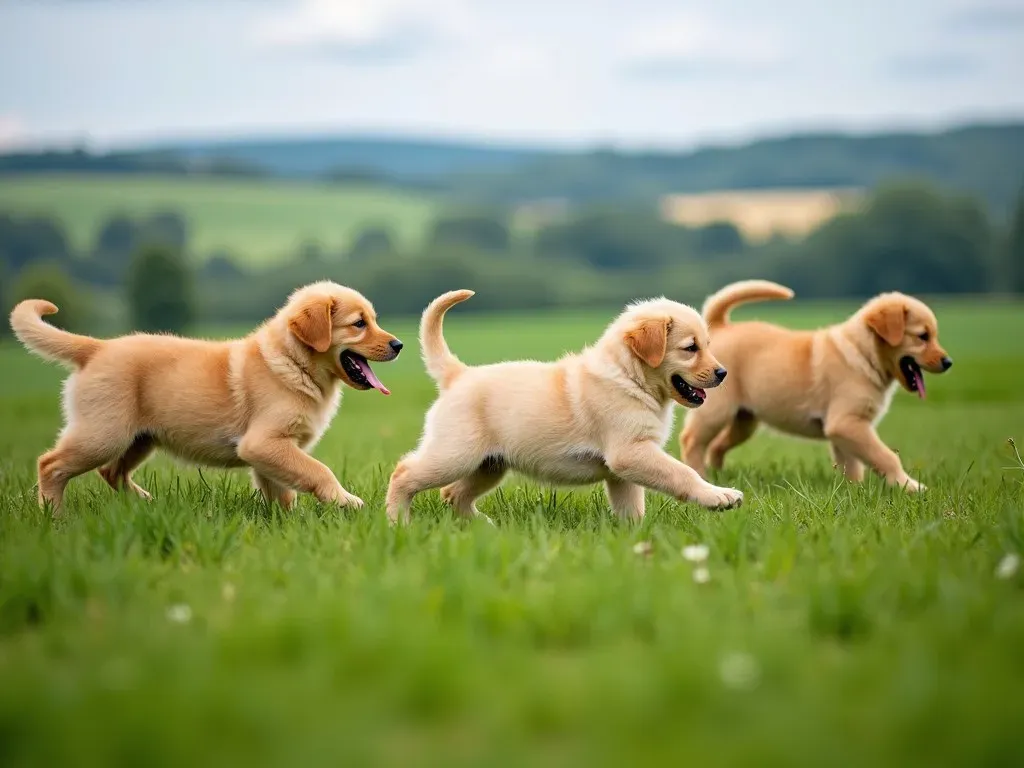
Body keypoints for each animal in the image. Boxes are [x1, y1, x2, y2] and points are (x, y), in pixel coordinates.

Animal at [12, 280, 403, 512]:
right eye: (359, 324)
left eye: (372, 319)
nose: (399, 344)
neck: (294, 363)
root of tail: (97, 347)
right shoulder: (264, 442)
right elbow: (317, 470)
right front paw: (346, 501)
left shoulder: (271, 451)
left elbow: (282, 490)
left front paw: (287, 524)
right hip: (104, 433)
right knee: (51, 464)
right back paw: (54, 516)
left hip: (139, 438)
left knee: (111, 472)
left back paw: (144, 504)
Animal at [385, 290, 745, 528]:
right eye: (690, 348)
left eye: (707, 345)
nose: (723, 373)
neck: (628, 376)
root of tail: (458, 374)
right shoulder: (631, 452)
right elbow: (682, 473)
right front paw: (718, 496)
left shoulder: (622, 468)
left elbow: (632, 506)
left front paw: (634, 535)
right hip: (455, 454)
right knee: (404, 473)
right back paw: (398, 522)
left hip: (489, 464)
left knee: (454, 494)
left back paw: (483, 527)